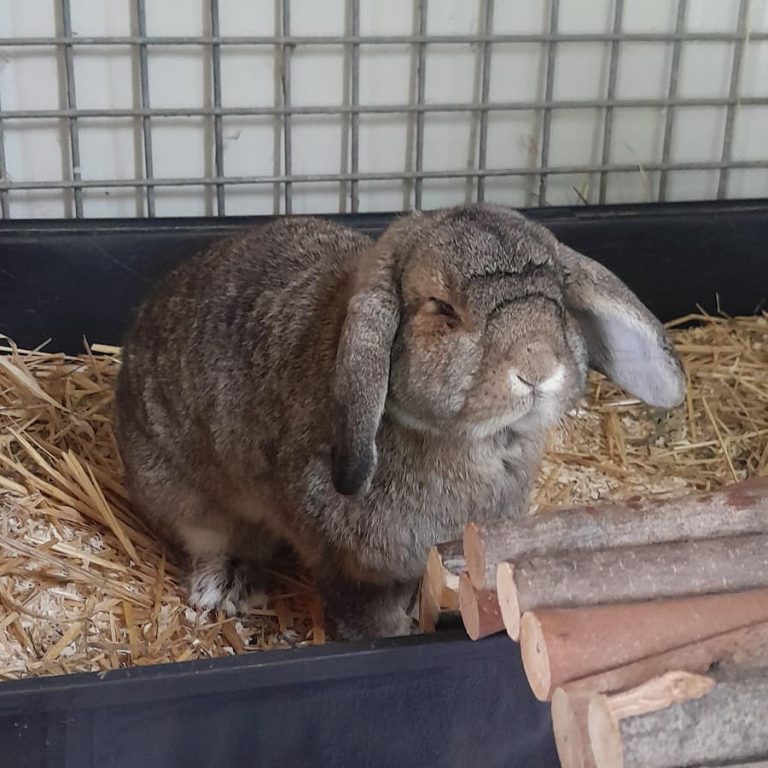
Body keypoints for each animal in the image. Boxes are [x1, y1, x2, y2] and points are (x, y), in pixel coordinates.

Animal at [114, 204, 685, 640]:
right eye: (442, 309)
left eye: (560, 302)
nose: (538, 367)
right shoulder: (347, 562)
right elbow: (368, 613)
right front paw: (390, 633)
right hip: (180, 487)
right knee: (212, 535)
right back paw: (226, 584)